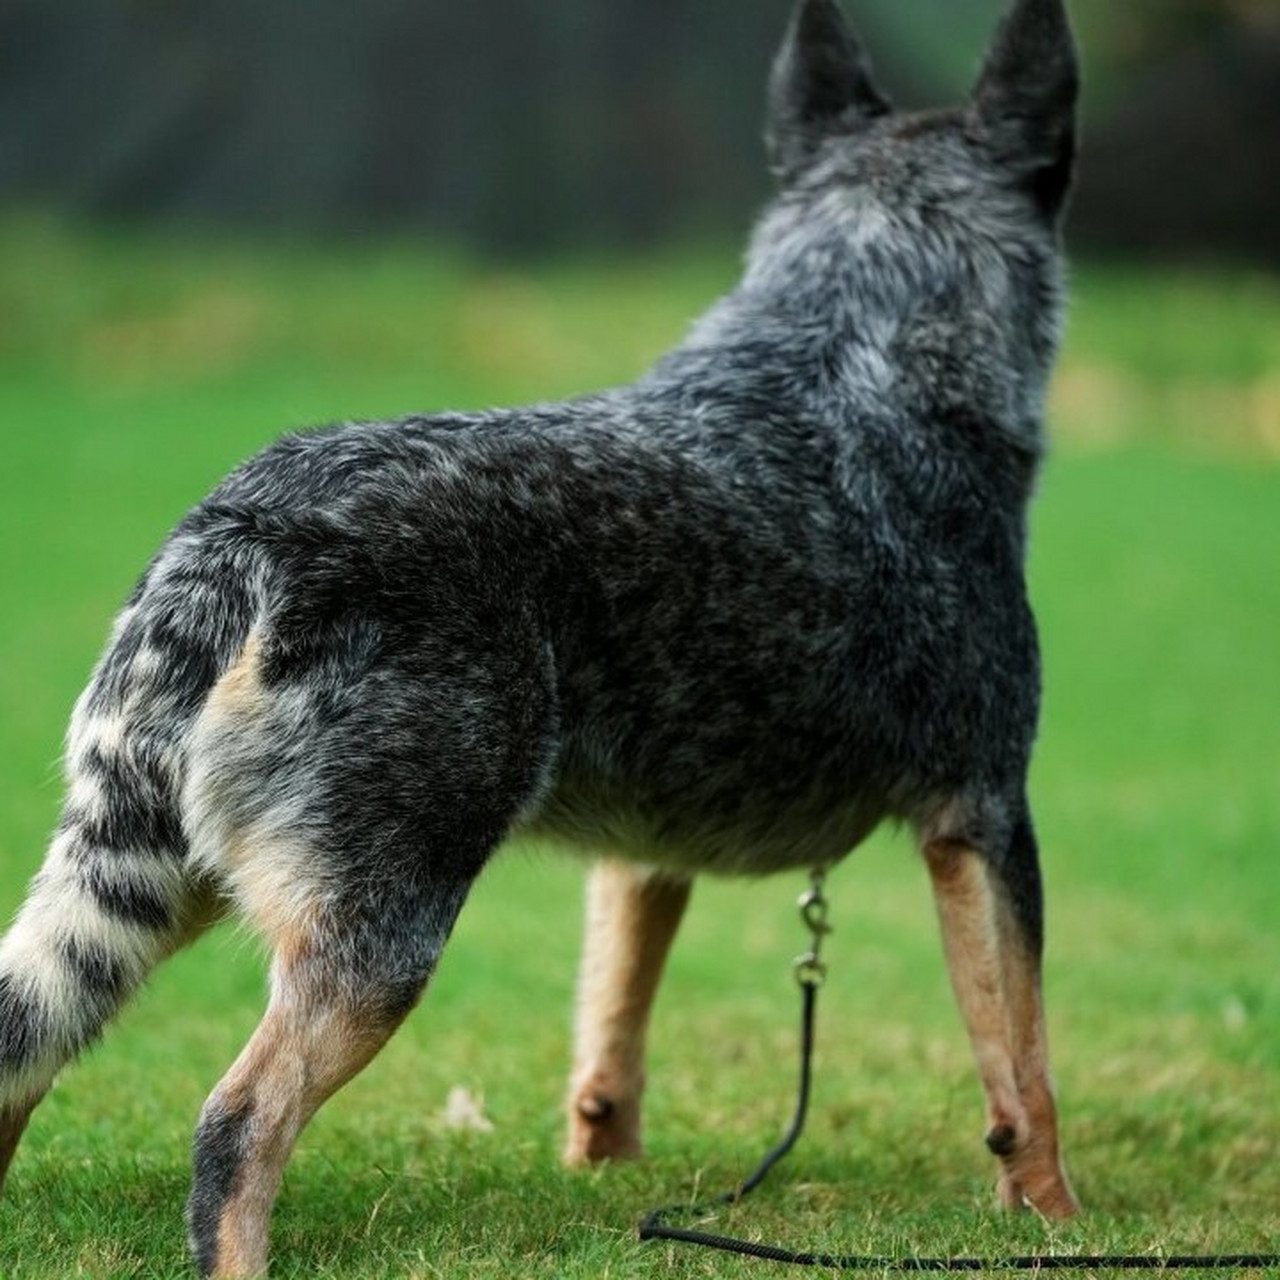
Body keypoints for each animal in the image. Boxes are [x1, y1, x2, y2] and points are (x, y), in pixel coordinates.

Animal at [0, 0, 1080, 1269]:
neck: (853, 359)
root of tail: (238, 527)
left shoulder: (644, 857)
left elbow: (607, 1044)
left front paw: (606, 1177)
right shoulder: (982, 817)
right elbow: (1023, 1074)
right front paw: (1062, 1223)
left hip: (121, 903)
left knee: (22, 1043)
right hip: (378, 943)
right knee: (234, 1124)